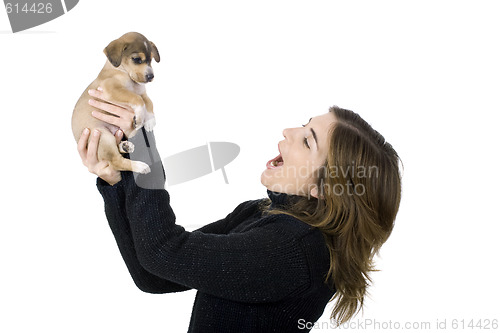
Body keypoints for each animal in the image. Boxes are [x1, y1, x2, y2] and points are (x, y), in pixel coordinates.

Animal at [70, 31, 159, 174]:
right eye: (136, 59)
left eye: (151, 59)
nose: (151, 77)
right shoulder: (112, 90)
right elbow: (138, 99)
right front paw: (140, 119)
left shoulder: (142, 92)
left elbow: (149, 102)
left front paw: (150, 120)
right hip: (103, 136)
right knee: (116, 161)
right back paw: (139, 166)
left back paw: (125, 145)